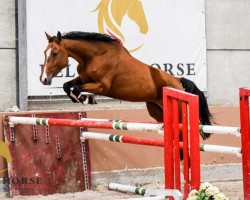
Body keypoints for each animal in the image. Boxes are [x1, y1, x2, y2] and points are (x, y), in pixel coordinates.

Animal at [40, 31, 212, 147]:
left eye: (54, 53)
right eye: (45, 52)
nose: (44, 79)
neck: (94, 56)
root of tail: (178, 83)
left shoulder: (102, 86)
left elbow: (76, 88)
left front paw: (85, 99)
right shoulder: (84, 79)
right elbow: (67, 85)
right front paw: (81, 98)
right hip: (156, 111)